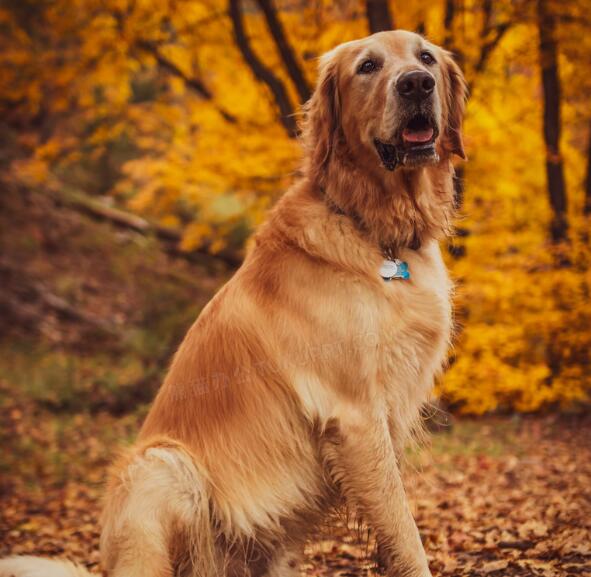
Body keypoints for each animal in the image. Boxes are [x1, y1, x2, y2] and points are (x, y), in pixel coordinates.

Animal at [0, 30, 468, 576]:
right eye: (368, 66)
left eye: (426, 58)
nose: (416, 84)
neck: (378, 233)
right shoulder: (354, 415)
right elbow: (404, 531)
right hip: (160, 465)